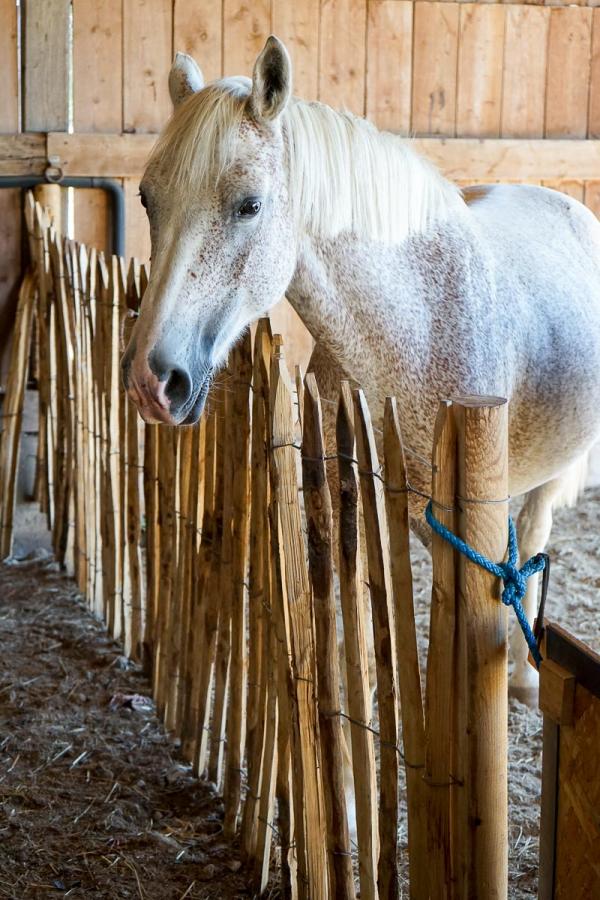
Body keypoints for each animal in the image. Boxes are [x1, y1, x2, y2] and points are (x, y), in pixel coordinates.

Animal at [119, 37, 600, 704]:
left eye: (249, 205)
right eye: (147, 197)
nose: (151, 379)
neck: (416, 328)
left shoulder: (464, 535)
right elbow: (356, 613)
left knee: (531, 535)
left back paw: (526, 677)